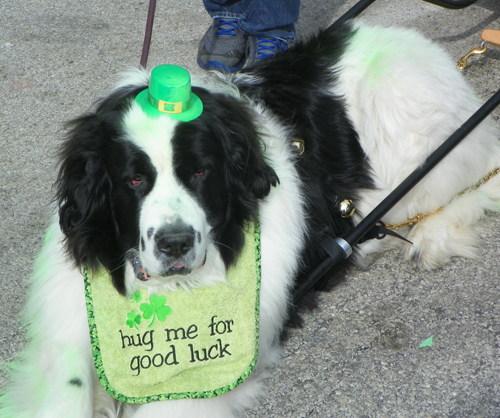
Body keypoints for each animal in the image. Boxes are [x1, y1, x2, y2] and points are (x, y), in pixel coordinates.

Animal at [0, 20, 500, 418]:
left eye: (201, 171)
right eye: (134, 179)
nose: (175, 243)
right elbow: (68, 389)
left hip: (420, 145)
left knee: (478, 179)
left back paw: (430, 236)